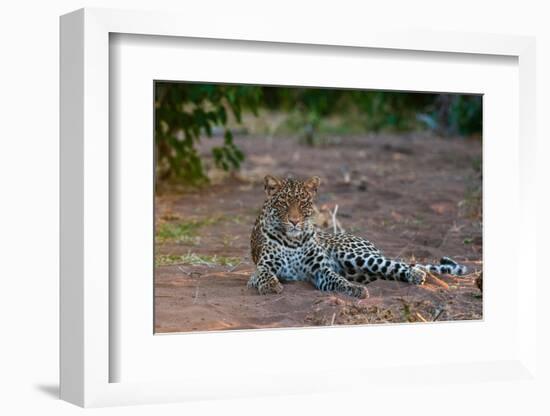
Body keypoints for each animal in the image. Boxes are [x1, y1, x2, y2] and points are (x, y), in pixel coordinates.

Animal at [248, 174, 468, 298]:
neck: (292, 241)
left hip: (357, 256)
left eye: (303, 204)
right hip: (363, 271)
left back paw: (416, 274)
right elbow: (263, 274)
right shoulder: (265, 265)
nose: (294, 221)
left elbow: (338, 280)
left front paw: (355, 290)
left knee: (397, 264)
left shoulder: (320, 270)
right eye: (283, 204)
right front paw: (270, 286)